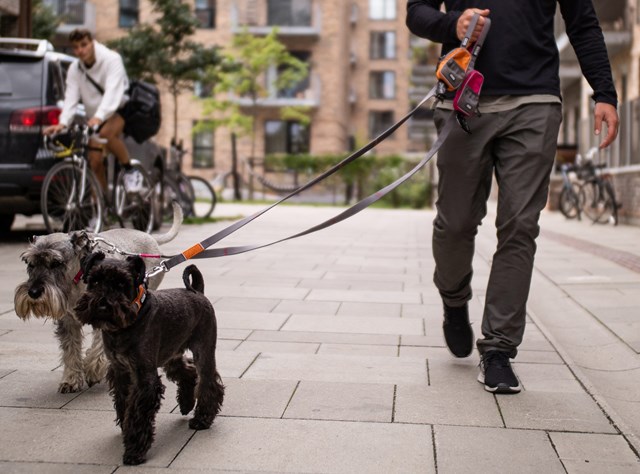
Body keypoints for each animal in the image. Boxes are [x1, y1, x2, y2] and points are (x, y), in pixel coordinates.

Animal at [13, 204, 182, 392]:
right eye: (29, 263)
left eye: (56, 262)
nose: (33, 292)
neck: (79, 279)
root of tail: (150, 236)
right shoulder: (68, 320)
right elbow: (70, 349)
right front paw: (71, 380)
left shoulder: (107, 314)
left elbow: (98, 345)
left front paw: (93, 370)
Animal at [74, 254, 224, 464]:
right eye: (94, 281)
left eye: (122, 283)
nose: (102, 304)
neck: (127, 324)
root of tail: (197, 291)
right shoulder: (120, 371)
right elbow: (124, 402)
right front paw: (125, 429)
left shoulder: (144, 377)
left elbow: (138, 412)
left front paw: (134, 450)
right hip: (171, 353)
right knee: (188, 372)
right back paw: (186, 404)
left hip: (204, 350)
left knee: (209, 382)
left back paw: (202, 419)